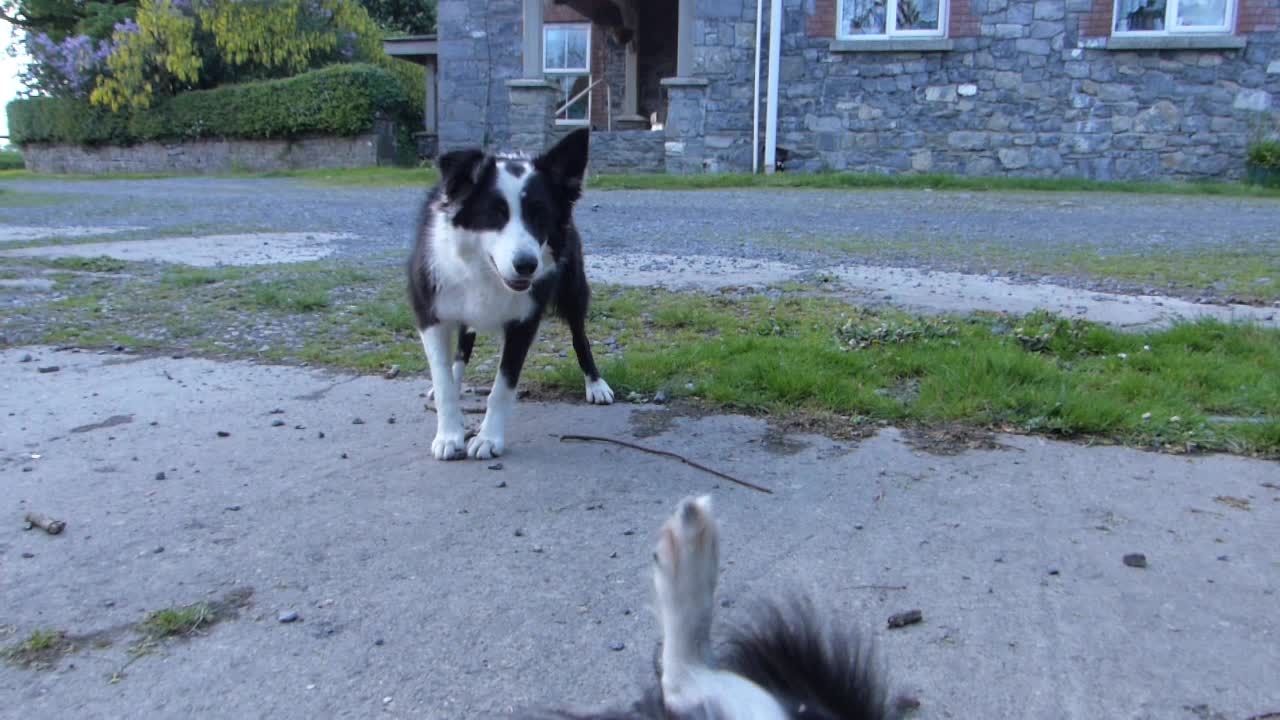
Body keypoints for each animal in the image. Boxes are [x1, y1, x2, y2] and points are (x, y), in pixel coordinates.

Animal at [407, 128, 611, 458]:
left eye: (540, 215)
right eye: (495, 214)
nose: (527, 265)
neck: (486, 273)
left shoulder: (524, 320)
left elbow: (502, 387)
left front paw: (488, 439)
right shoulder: (430, 313)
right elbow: (443, 381)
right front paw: (449, 435)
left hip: (572, 289)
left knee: (580, 336)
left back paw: (595, 384)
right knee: (463, 346)